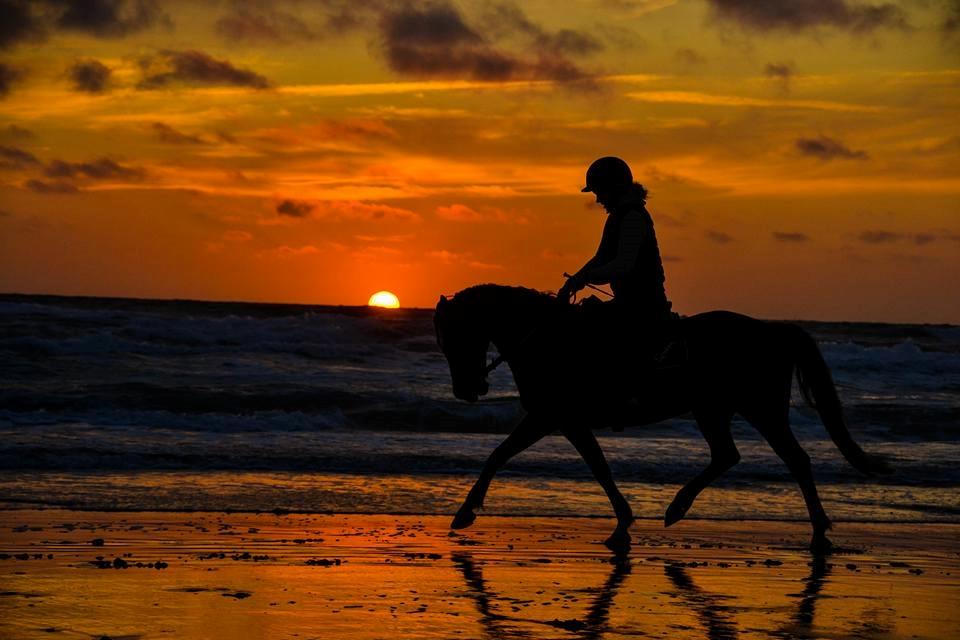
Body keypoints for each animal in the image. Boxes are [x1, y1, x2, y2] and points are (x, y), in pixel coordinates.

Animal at [432, 282, 888, 552]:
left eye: (455, 336)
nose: (467, 390)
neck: (546, 339)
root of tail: (773, 331)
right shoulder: (564, 421)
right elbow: (596, 467)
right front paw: (623, 524)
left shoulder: (552, 417)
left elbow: (504, 455)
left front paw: (465, 512)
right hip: (716, 409)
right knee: (732, 456)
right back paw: (681, 509)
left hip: (758, 409)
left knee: (793, 460)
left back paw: (816, 532)